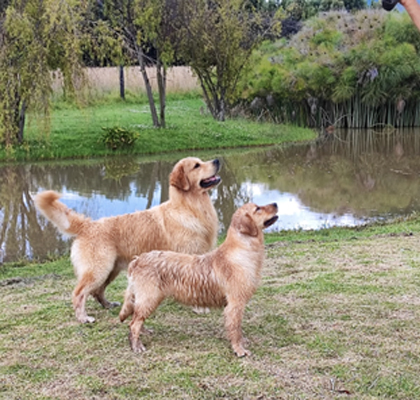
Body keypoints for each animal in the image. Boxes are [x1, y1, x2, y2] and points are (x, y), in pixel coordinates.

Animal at [120, 203, 278, 356]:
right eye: (258, 208)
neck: (242, 251)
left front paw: (242, 342)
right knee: (134, 323)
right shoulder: (235, 304)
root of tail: (137, 260)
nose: (276, 204)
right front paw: (239, 349)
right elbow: (235, 329)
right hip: (149, 298)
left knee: (135, 318)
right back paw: (137, 345)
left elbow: (238, 329)